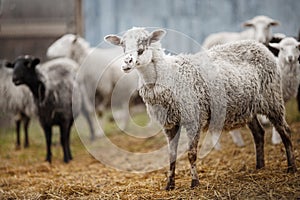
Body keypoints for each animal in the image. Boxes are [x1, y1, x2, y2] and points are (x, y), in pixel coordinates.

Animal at [104, 27, 296, 190]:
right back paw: (259, 166)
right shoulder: (169, 123)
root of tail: (259, 45)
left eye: (143, 44)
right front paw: (169, 185)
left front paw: (195, 182)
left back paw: (291, 167)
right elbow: (171, 155)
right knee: (259, 133)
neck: (168, 75)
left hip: (272, 99)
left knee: (284, 130)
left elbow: (191, 154)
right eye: (122, 45)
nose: (126, 63)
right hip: (248, 107)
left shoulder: (193, 118)